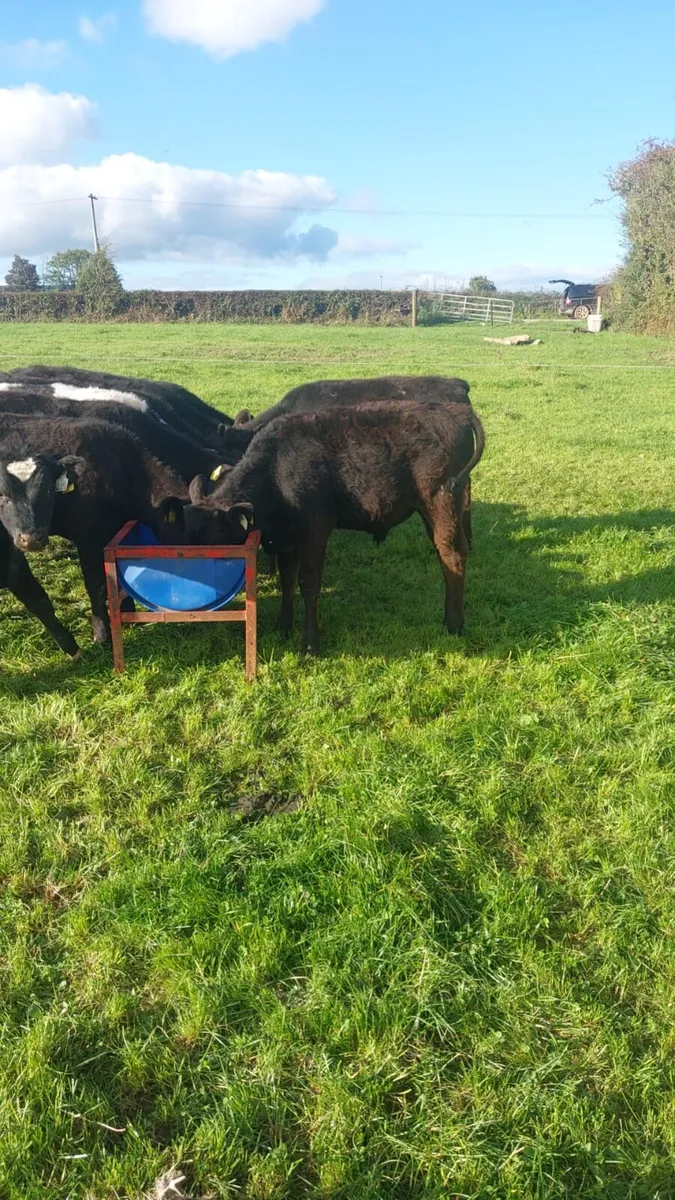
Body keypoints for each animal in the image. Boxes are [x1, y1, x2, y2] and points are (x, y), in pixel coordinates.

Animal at [166, 399, 485, 655]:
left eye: (215, 540)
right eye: (186, 537)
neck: (276, 468)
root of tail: (453, 410)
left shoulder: (315, 531)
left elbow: (308, 583)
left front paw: (309, 643)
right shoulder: (287, 540)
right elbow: (287, 580)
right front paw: (283, 625)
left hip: (441, 502)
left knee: (452, 556)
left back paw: (454, 623)